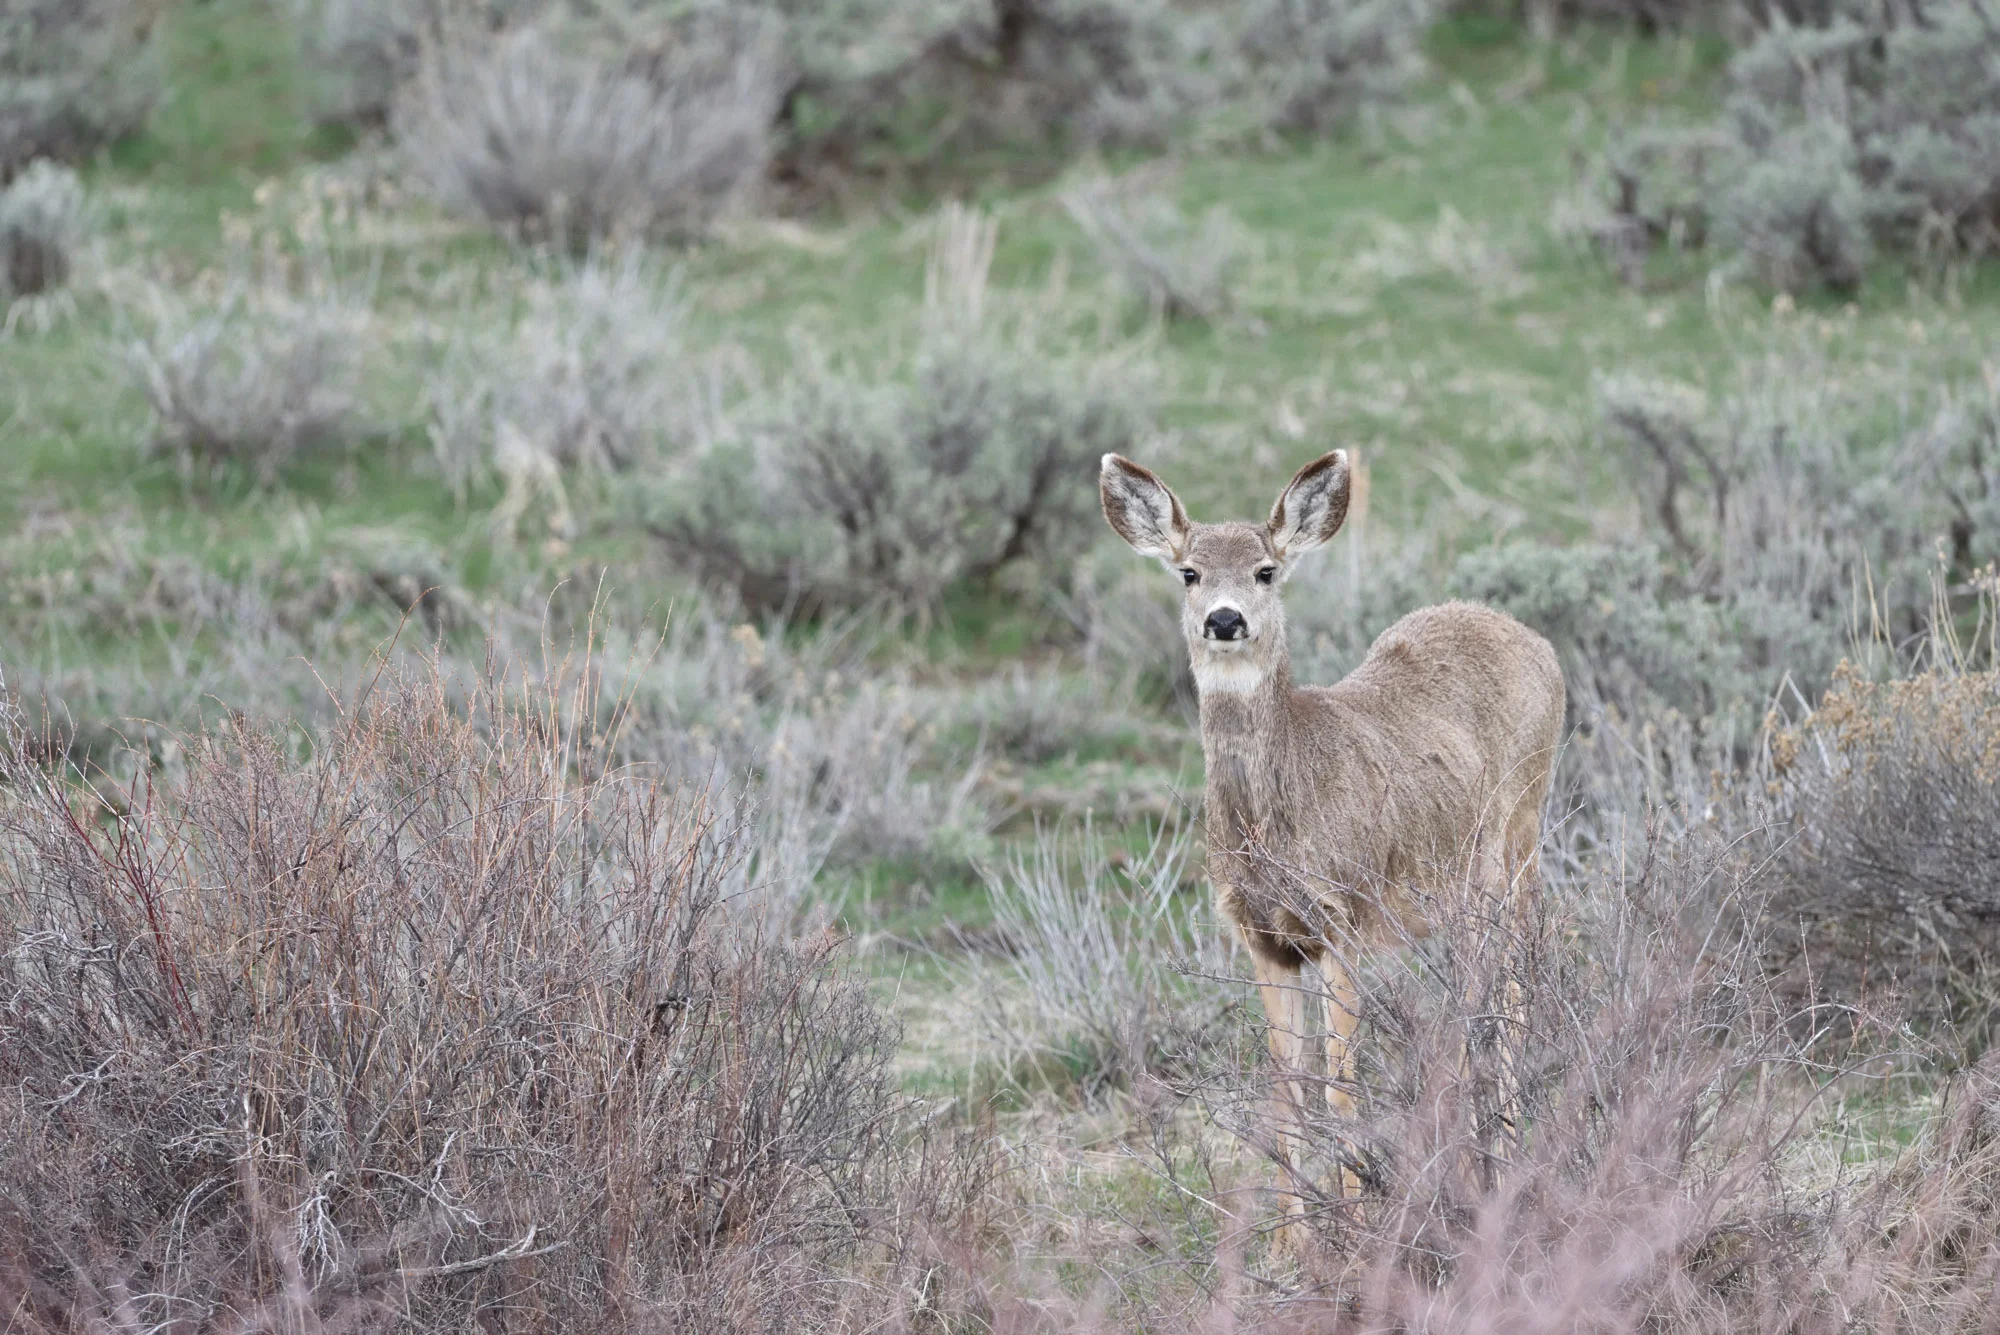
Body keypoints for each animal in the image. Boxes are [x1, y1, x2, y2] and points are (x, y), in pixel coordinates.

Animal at [1098, 449, 1565, 1229]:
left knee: (1517, 986)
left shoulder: (1342, 916)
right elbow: (1287, 1093)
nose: (1225, 619)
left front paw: (1355, 1228)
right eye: (1190, 572)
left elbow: (1342, 1088)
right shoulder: (1262, 936)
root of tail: (1533, 639)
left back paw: (1506, 1159)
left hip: (1520, 832)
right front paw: (1292, 1239)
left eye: (1265, 571)